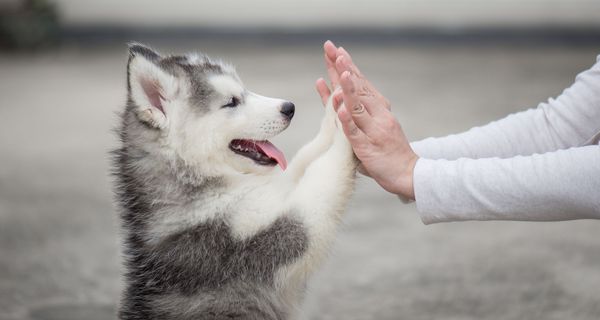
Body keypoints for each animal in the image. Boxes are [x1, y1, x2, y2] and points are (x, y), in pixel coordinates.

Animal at [112, 43, 356, 320]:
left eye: (244, 90)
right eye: (231, 102)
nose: (289, 107)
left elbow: (304, 159)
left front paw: (335, 109)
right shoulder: (266, 240)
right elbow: (323, 174)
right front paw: (347, 123)